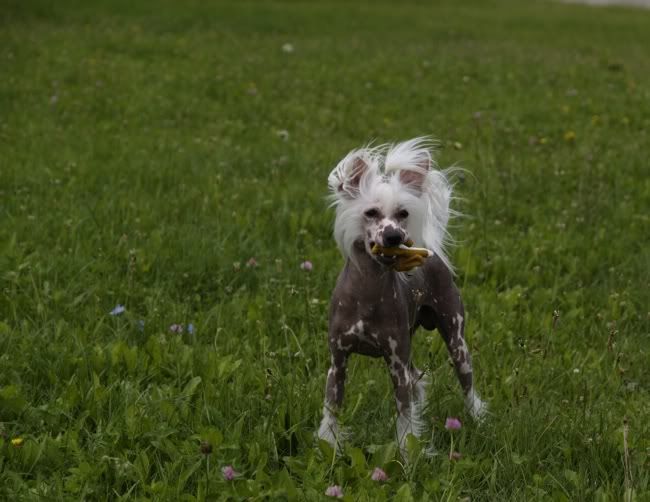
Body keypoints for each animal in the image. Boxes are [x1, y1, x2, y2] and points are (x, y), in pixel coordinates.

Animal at [317, 138, 487, 457]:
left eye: (403, 214)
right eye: (371, 212)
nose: (394, 236)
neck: (367, 293)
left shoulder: (396, 365)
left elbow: (405, 417)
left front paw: (408, 454)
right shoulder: (338, 364)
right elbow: (331, 411)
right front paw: (329, 446)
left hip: (456, 340)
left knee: (467, 387)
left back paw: (478, 418)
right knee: (418, 378)